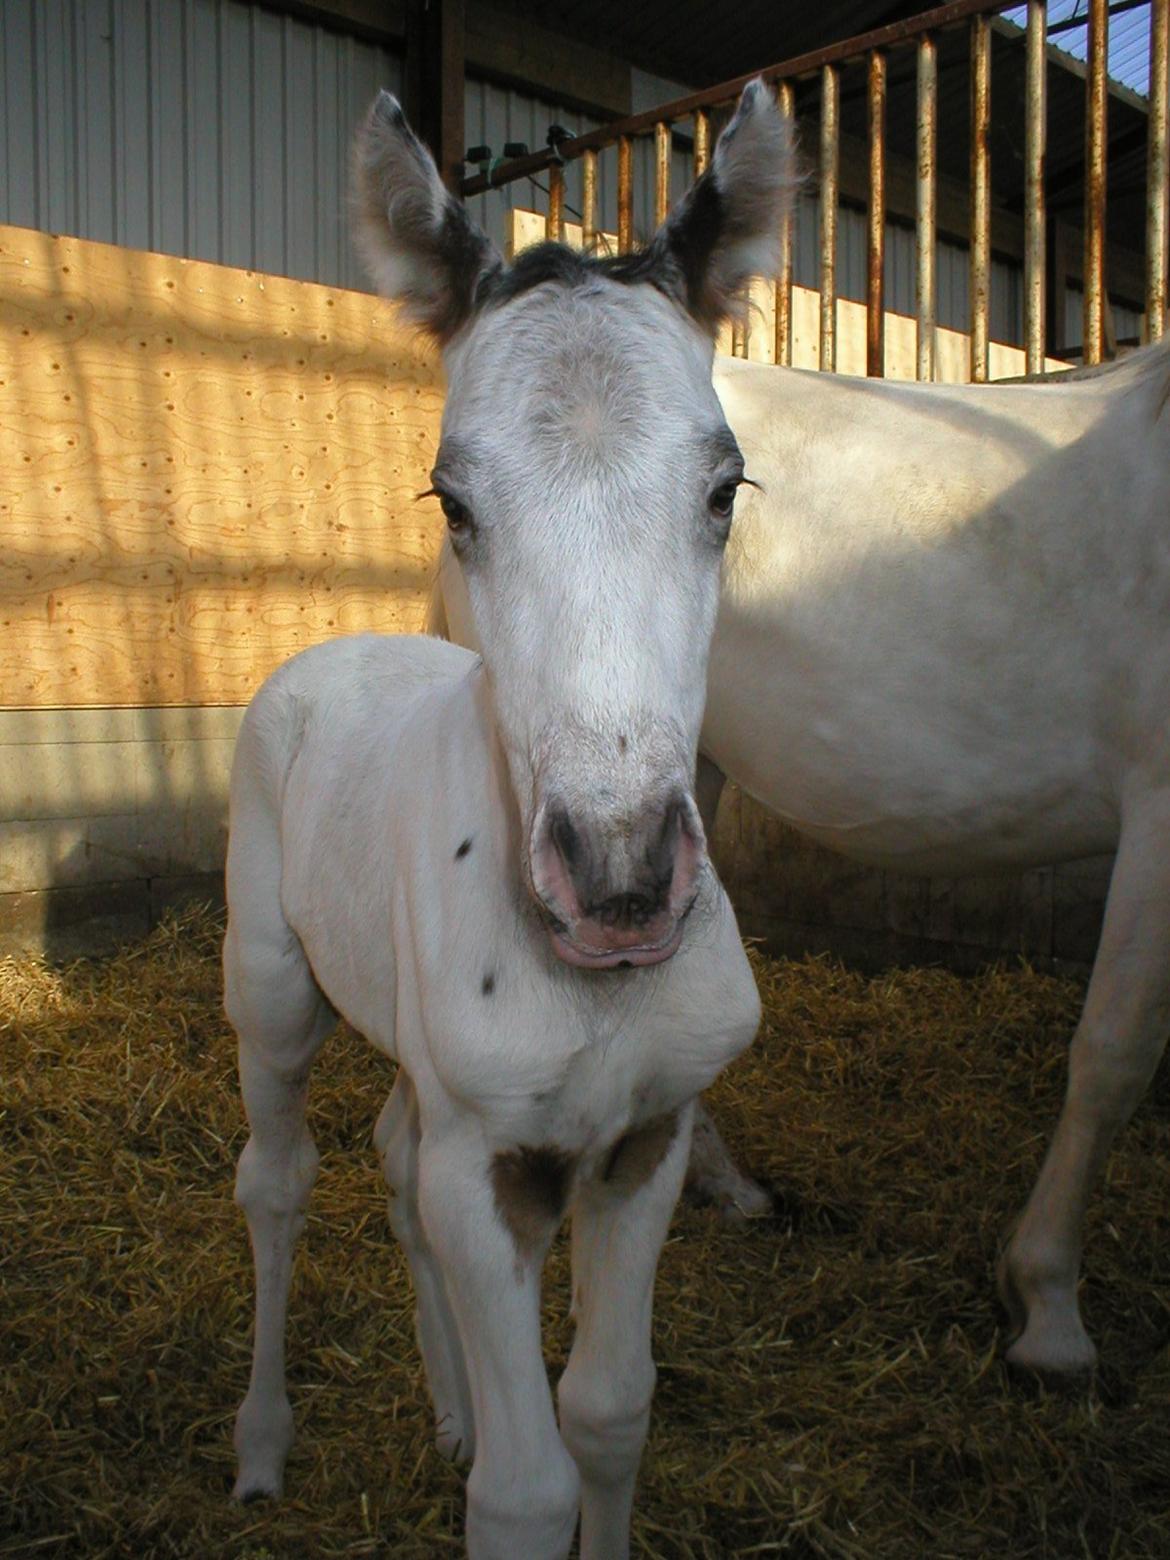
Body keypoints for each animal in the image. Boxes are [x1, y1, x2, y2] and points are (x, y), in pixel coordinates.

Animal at [226, 85, 798, 1560]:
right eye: (453, 498)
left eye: (725, 488)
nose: (621, 879)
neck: (589, 991)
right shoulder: (485, 1158)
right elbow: (526, 1492)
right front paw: (490, 1456)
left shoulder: (643, 1140)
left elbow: (607, 1411)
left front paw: (498, 1421)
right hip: (271, 993)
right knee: (279, 1180)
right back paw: (261, 1445)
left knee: (385, 1153)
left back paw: (447, 1407)